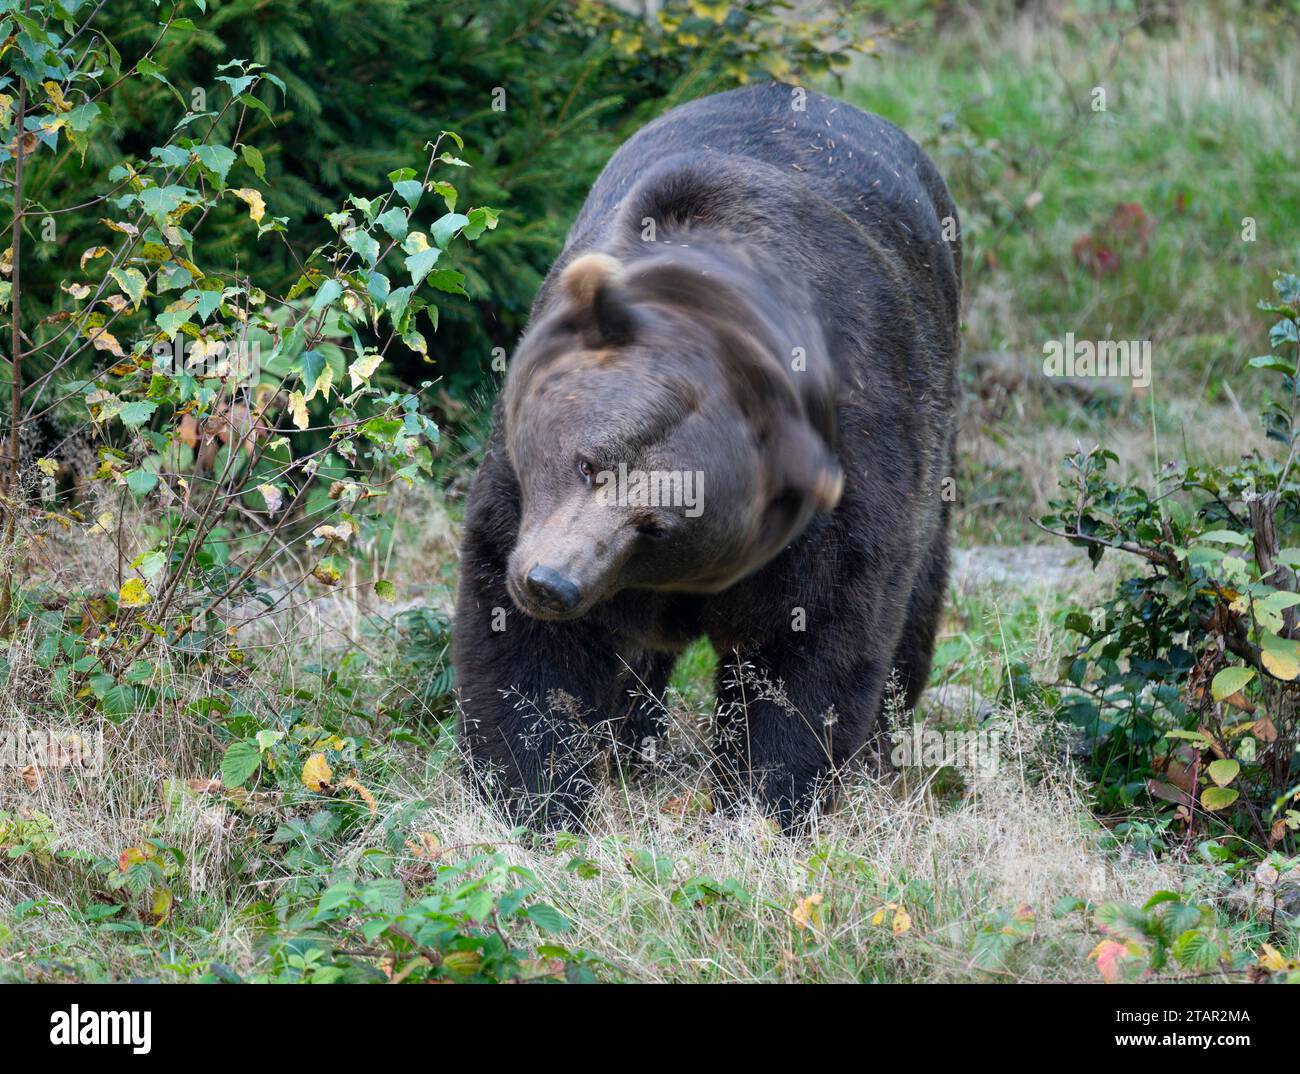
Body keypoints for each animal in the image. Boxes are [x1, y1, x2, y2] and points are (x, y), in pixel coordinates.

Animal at [452, 83, 961, 826]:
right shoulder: (517, 491)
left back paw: (879, 757)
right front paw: (532, 798)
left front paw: (761, 805)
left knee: (915, 611)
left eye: (658, 523)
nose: (552, 583)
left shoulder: (844, 485)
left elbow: (809, 649)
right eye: (587, 462)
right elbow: (527, 656)